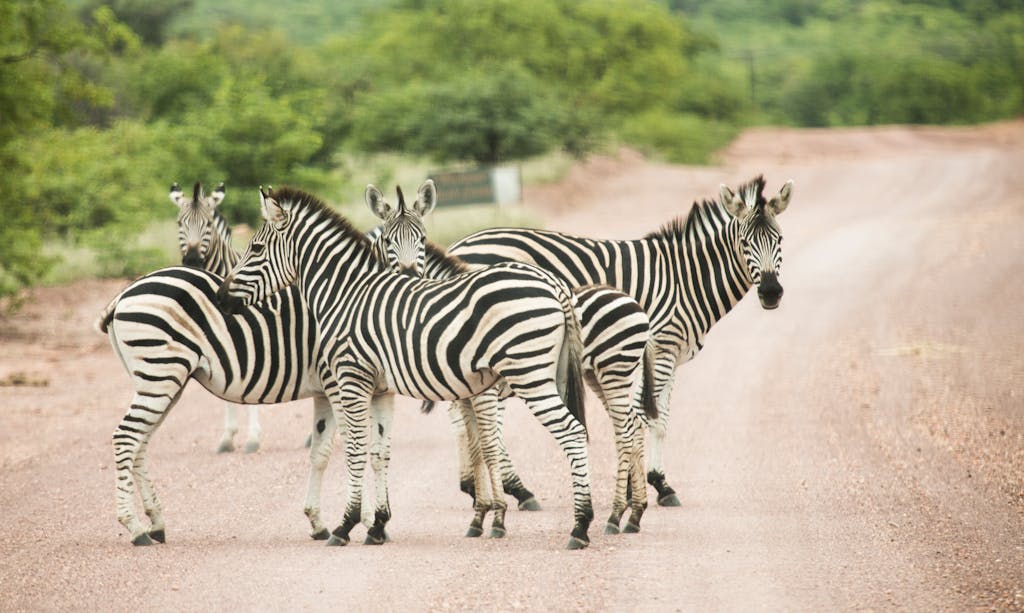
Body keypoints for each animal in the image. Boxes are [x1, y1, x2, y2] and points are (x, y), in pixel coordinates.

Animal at [217, 186, 596, 549]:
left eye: (255, 248)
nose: (221, 298)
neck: (346, 295)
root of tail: (553, 283)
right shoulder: (381, 390)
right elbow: (379, 453)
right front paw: (378, 525)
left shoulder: (351, 380)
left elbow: (354, 451)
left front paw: (346, 525)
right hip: (549, 374)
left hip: (530, 375)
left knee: (572, 432)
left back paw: (580, 526)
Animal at [366, 182, 658, 534]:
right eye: (387, 241)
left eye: (421, 238)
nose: (410, 274)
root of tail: (635, 305)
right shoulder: (465, 391)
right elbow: (476, 442)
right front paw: (482, 504)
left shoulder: (482, 391)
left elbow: (486, 444)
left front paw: (493, 508)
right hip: (601, 377)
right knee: (632, 426)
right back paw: (631, 511)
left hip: (614, 372)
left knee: (628, 428)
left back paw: (621, 512)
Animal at [448, 175, 794, 507]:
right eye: (745, 242)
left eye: (779, 239)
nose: (771, 293)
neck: (685, 280)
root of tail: (459, 245)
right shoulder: (661, 349)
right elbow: (645, 418)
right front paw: (644, 487)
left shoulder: (671, 355)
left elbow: (660, 420)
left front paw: (654, 482)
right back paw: (516, 489)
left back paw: (478, 487)